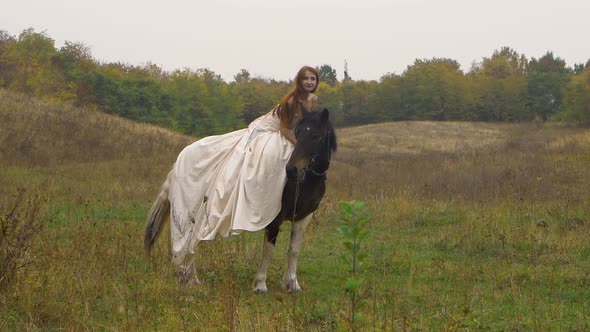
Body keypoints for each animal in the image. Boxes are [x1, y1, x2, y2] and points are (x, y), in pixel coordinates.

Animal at [144, 109, 338, 294]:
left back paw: (189, 279)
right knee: (185, 243)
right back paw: (188, 278)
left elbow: (294, 250)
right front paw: (260, 285)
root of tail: (179, 160)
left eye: (316, 136)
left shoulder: (304, 217)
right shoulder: (275, 218)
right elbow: (268, 250)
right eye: (297, 133)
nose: (291, 170)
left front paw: (292, 284)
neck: (304, 182)